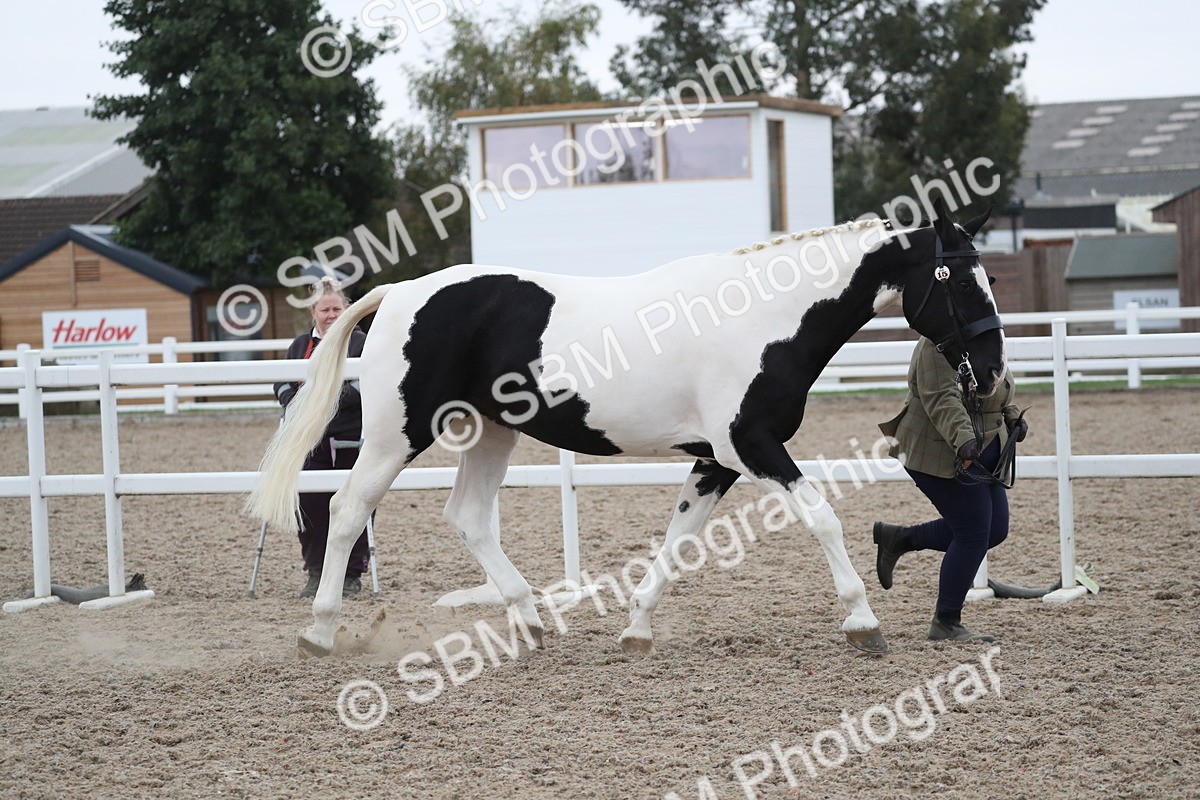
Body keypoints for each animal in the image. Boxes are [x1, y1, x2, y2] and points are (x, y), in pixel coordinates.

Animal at [249, 198, 1006, 658]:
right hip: (394, 436)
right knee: (348, 509)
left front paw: (636, 628)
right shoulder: (753, 447)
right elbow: (821, 518)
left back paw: (530, 621)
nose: (993, 370)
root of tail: (398, 293)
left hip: (491, 432)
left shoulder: (717, 460)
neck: (765, 318)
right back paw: (320, 633)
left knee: (467, 517)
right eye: (960, 281)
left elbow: (680, 539)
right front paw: (863, 622)